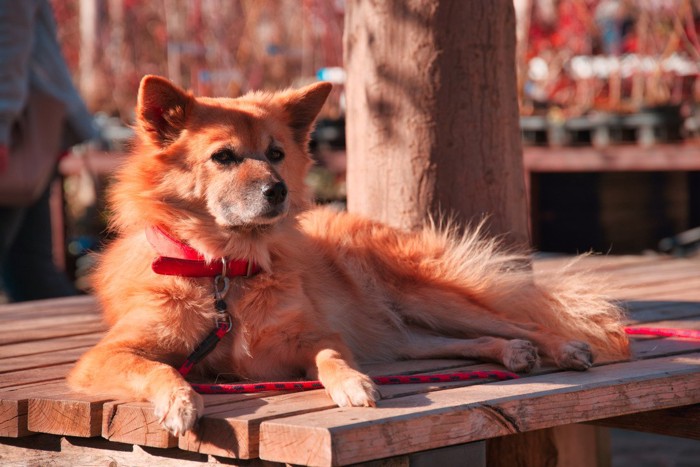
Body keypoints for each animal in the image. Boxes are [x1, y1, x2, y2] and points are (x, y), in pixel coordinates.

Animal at [68, 75, 632, 436]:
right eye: (223, 157)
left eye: (276, 154)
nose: (278, 191)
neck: (225, 271)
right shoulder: (104, 357)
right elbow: (157, 370)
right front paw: (181, 399)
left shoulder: (316, 336)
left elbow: (331, 357)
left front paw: (352, 384)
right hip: (403, 335)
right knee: (459, 342)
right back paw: (511, 354)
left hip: (425, 299)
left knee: (517, 323)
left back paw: (560, 347)